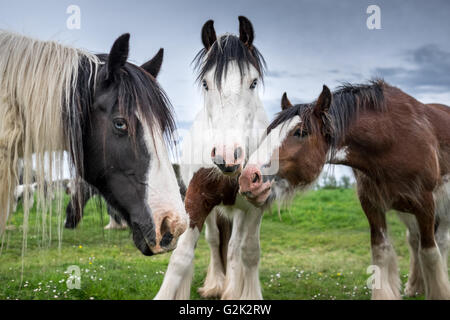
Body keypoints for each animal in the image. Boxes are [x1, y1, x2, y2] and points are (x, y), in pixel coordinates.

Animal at [156, 15, 268, 300]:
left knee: (236, 247)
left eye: (253, 82)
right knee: (217, 240)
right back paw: (217, 283)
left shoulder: (256, 206)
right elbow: (181, 256)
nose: (227, 157)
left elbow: (249, 252)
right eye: (206, 83)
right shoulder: (196, 199)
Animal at [239, 80, 450, 300]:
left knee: (440, 242)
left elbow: (430, 252)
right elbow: (381, 251)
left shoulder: (425, 204)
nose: (248, 179)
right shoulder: (372, 205)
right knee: (414, 240)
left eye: (300, 132)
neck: (393, 140)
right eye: (270, 132)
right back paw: (416, 286)